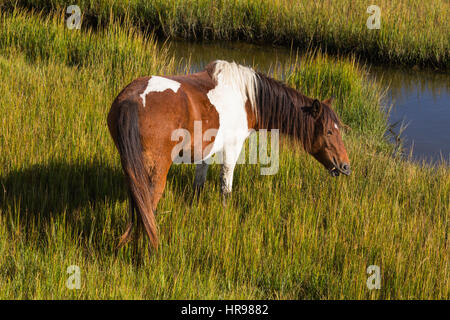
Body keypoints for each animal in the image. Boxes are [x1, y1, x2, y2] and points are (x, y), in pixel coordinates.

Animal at [108, 60, 352, 250]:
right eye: (329, 131)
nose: (345, 166)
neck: (247, 98)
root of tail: (131, 100)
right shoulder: (232, 148)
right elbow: (226, 187)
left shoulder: (204, 150)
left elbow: (199, 183)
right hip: (156, 170)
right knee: (148, 206)